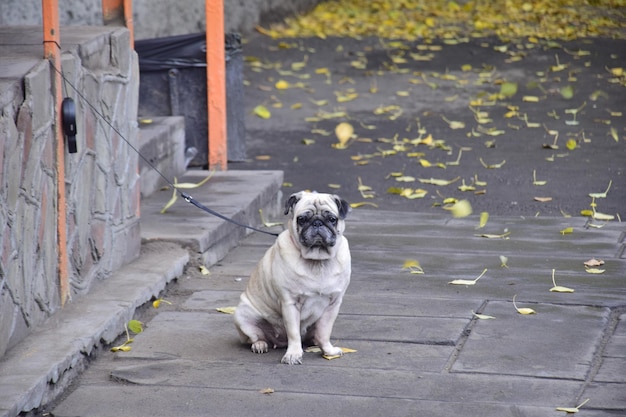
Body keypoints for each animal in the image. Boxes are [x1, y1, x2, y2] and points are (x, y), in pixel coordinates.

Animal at [234, 190, 352, 362]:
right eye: (302, 219)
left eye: (332, 219)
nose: (317, 223)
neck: (317, 261)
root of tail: (279, 341)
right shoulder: (290, 303)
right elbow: (294, 333)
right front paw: (293, 354)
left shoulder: (333, 305)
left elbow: (324, 332)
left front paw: (328, 351)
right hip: (242, 315)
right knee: (256, 336)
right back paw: (260, 345)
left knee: (316, 335)